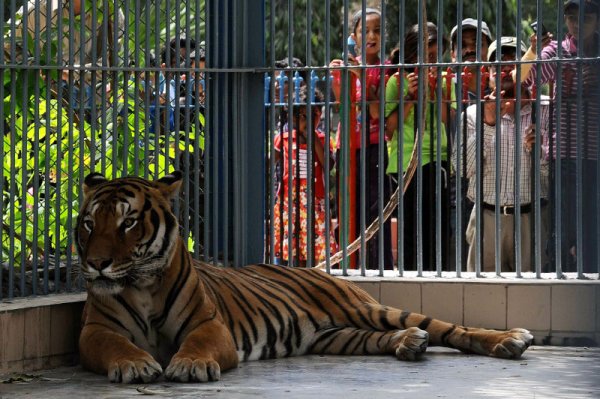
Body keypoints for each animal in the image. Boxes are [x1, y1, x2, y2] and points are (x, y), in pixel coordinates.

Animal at [76, 172, 536, 384]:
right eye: (88, 224)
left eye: (129, 222)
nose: (96, 263)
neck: (140, 285)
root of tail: (316, 269)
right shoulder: (95, 330)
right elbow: (117, 346)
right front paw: (136, 365)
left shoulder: (209, 325)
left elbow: (196, 344)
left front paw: (189, 365)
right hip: (337, 336)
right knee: (386, 338)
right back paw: (410, 345)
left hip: (369, 309)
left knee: (451, 328)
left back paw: (511, 340)